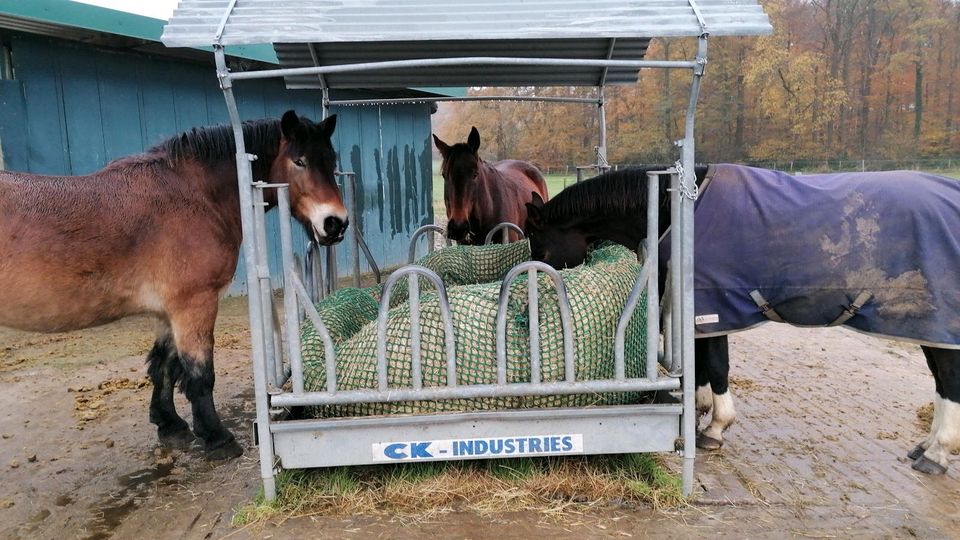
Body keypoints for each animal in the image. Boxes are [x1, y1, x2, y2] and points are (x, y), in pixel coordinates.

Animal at [0, 110, 348, 460]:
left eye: (331, 160)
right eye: (299, 161)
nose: (336, 223)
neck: (192, 196)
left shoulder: (167, 311)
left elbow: (163, 365)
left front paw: (169, 424)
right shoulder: (194, 303)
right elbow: (199, 373)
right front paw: (217, 437)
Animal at [520, 162, 960, 474]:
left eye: (539, 245)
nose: (533, 302)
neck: (679, 212)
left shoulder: (712, 309)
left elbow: (715, 364)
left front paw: (716, 428)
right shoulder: (698, 314)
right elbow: (698, 365)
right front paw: (699, 412)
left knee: (949, 378)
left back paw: (937, 454)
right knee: (942, 381)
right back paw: (927, 446)